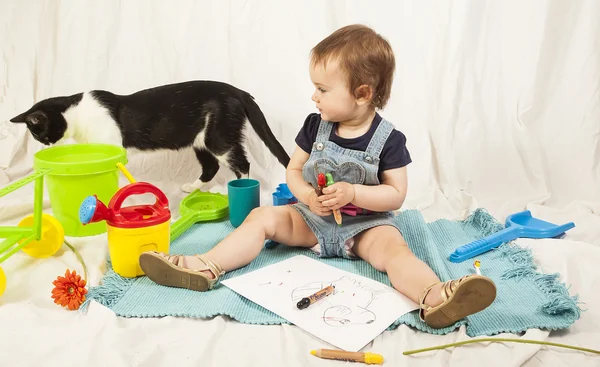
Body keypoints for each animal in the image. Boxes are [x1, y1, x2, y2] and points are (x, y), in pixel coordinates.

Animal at [8, 80, 290, 193]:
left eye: (41, 134)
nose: (45, 146)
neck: (77, 113)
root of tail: (239, 91)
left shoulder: (112, 146)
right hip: (199, 139)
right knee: (210, 166)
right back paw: (192, 188)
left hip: (218, 135)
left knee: (241, 163)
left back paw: (235, 192)